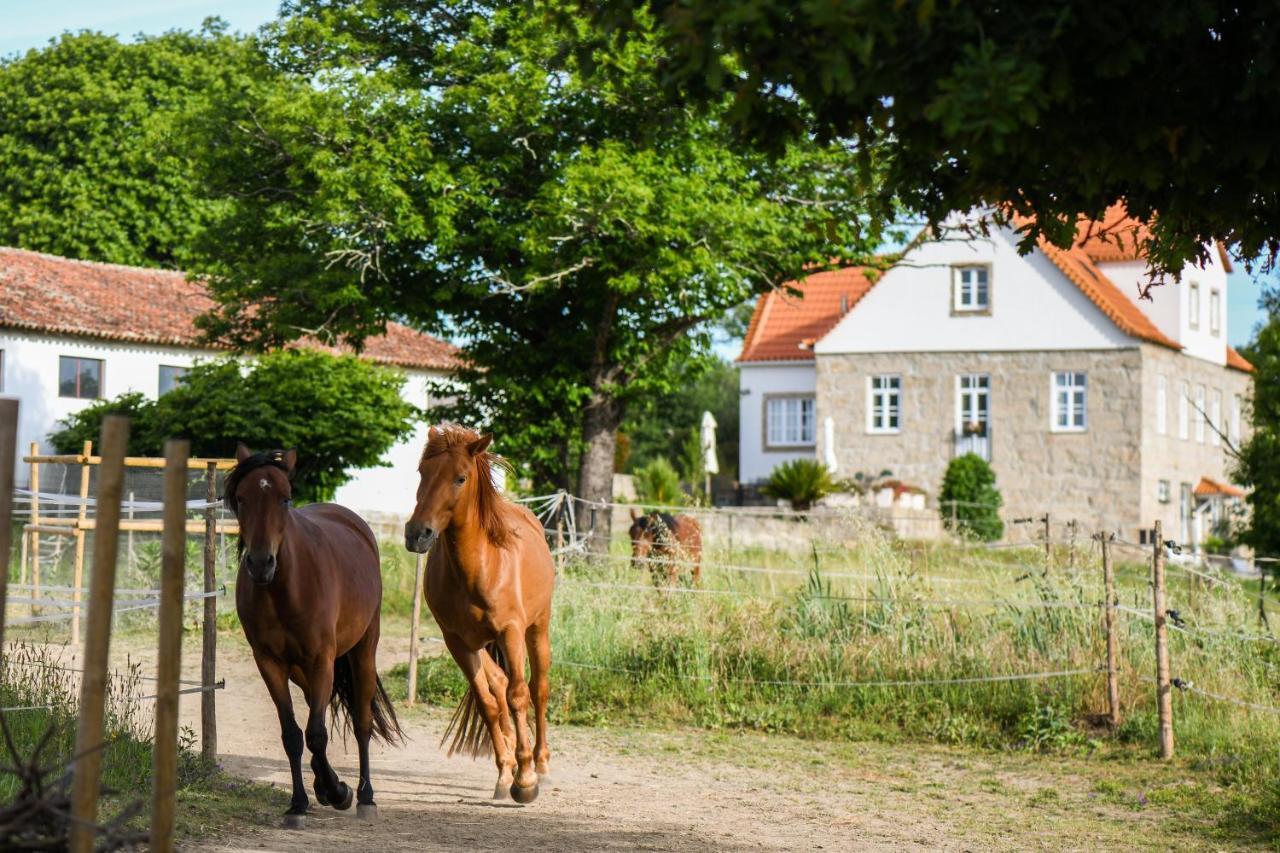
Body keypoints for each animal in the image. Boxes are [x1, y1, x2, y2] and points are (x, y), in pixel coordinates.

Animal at [227, 445, 399, 824]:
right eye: (241, 498)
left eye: (285, 498)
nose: (260, 563)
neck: (286, 590)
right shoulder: (270, 664)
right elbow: (293, 734)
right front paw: (300, 802)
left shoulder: (322, 660)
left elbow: (317, 734)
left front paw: (338, 792)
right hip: (303, 671)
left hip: (363, 651)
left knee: (361, 722)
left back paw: (365, 796)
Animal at [404, 425, 555, 804]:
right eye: (422, 472)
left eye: (460, 477)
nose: (417, 534)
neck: (479, 565)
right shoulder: (457, 642)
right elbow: (488, 702)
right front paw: (506, 774)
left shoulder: (511, 632)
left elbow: (518, 695)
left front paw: (526, 781)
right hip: (481, 644)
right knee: (498, 684)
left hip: (537, 629)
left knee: (538, 689)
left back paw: (541, 764)